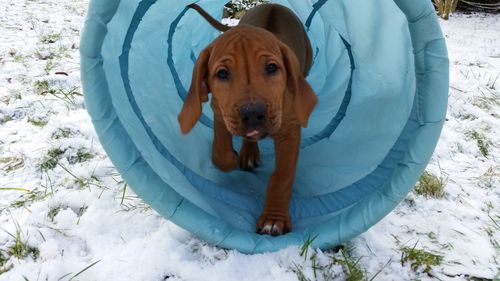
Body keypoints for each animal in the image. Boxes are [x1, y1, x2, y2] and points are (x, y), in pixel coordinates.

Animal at [178, 2, 314, 234]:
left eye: (272, 68)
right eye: (222, 74)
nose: (252, 113)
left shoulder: (289, 132)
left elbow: (282, 176)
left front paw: (273, 219)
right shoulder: (220, 112)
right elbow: (220, 153)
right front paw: (232, 158)